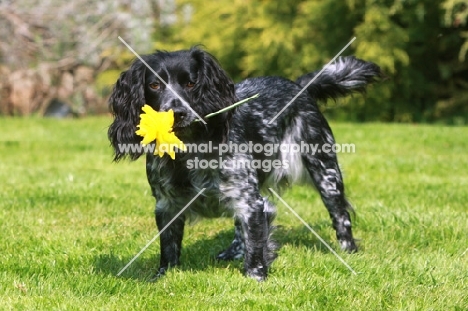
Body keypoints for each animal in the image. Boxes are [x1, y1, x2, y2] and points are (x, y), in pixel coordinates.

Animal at [109, 47, 380, 282]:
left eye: (191, 83)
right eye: (154, 85)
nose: (177, 113)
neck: (191, 149)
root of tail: (298, 86)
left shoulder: (251, 202)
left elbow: (257, 247)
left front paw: (256, 277)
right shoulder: (166, 206)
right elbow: (169, 249)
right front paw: (163, 277)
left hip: (326, 173)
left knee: (340, 216)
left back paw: (349, 251)